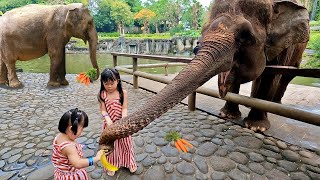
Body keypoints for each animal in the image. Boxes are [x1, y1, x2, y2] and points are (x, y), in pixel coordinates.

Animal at [99, 0, 308, 146]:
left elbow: (271, 74)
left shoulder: (285, 45)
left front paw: (256, 127)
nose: (103, 143)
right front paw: (227, 116)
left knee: (285, 76)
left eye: (246, 36)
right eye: (204, 29)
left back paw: (275, 104)